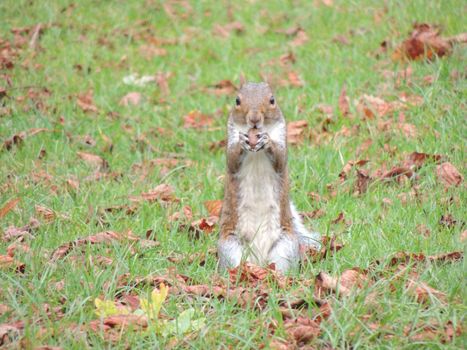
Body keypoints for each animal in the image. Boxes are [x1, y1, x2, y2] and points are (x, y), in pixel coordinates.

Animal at [217, 80, 320, 274]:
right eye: (237, 101)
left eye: (272, 100)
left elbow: (280, 159)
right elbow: (232, 160)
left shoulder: (281, 133)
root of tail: (259, 261)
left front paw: (267, 141)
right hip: (230, 246)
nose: (254, 119)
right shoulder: (231, 133)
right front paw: (242, 142)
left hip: (285, 246)